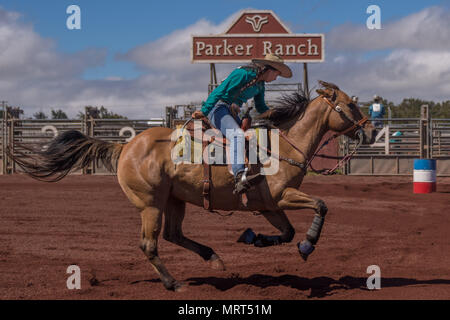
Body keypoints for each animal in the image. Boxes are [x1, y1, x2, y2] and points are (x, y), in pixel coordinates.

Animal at [10, 80, 376, 292]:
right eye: (350, 104)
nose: (371, 132)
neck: (283, 146)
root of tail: (124, 147)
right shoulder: (282, 197)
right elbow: (321, 206)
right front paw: (308, 245)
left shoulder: (268, 206)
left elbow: (286, 233)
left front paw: (253, 238)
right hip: (150, 204)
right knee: (150, 244)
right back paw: (173, 284)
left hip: (175, 200)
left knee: (173, 234)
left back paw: (213, 258)